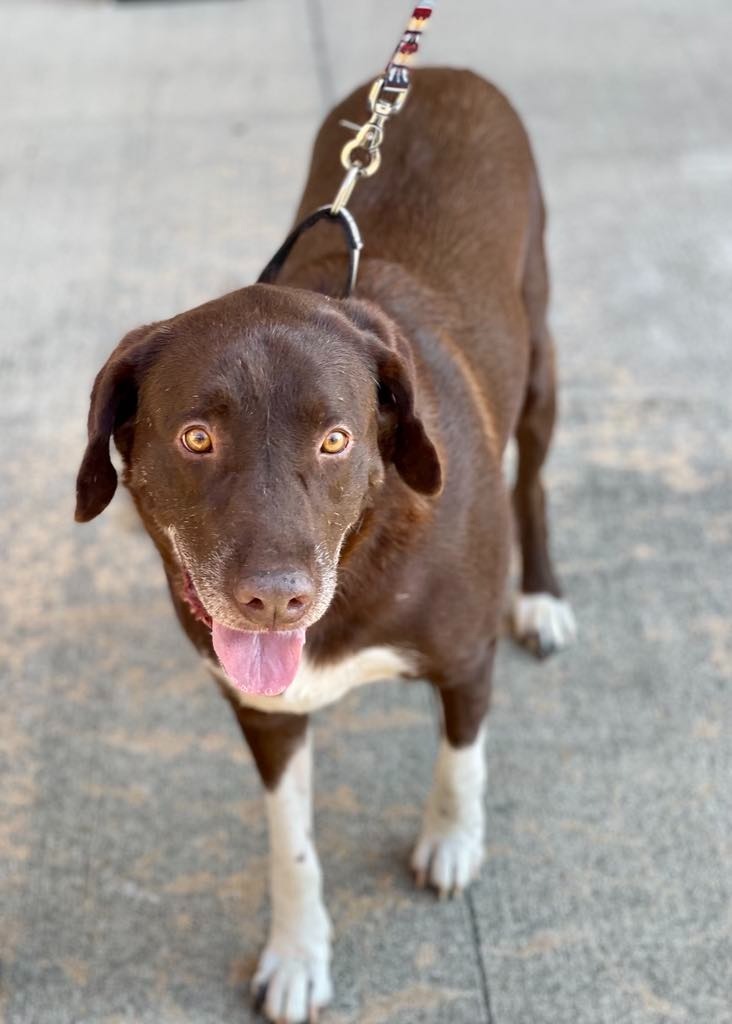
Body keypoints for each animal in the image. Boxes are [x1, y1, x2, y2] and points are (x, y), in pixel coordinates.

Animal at [75, 70, 577, 1024]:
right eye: (196, 439)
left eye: (336, 440)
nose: (275, 598)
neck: (363, 557)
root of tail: (443, 69)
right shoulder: (264, 711)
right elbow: (291, 844)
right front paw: (298, 954)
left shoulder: (466, 655)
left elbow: (461, 760)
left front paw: (452, 841)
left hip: (538, 357)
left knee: (530, 476)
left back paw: (543, 596)